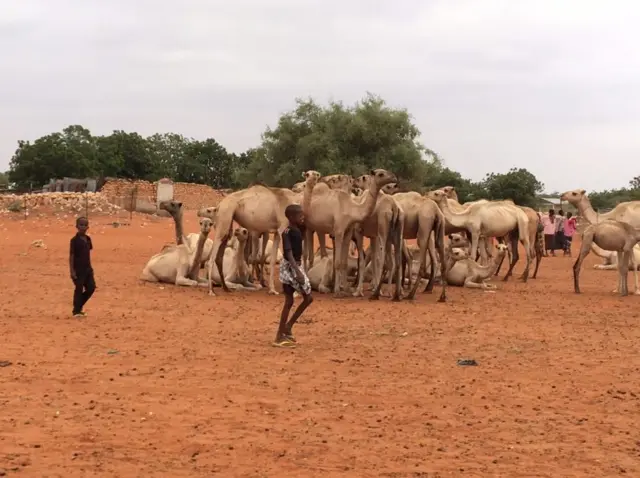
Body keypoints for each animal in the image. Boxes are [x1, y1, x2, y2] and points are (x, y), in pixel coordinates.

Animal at [302, 169, 397, 297]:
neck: (352, 208)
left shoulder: (347, 232)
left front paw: (346, 289)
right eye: (381, 174)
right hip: (307, 227)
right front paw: (337, 291)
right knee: (306, 255)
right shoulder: (339, 231)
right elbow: (337, 262)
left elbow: (344, 262)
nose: (394, 177)